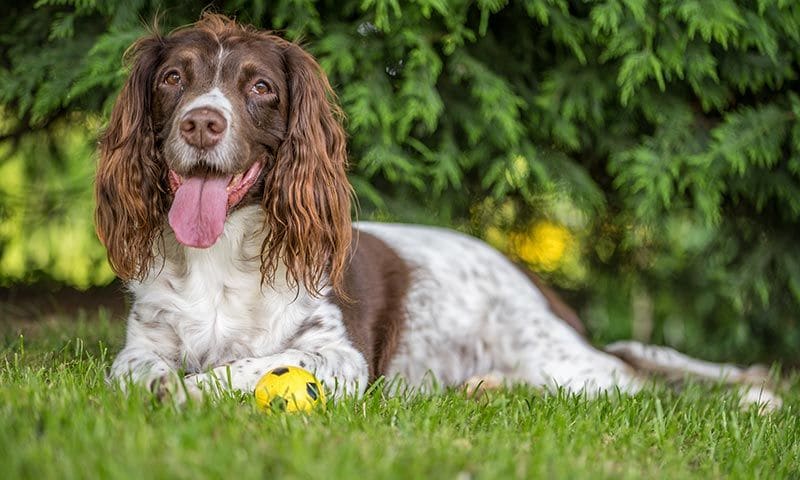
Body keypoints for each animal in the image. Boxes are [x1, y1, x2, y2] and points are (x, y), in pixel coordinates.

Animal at [95, 13, 780, 406]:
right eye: (172, 78)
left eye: (260, 86)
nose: (201, 123)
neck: (220, 257)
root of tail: (530, 277)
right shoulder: (143, 339)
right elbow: (134, 369)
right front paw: (159, 387)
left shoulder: (341, 358)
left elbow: (244, 367)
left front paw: (188, 393)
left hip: (561, 362)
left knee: (641, 383)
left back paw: (754, 400)